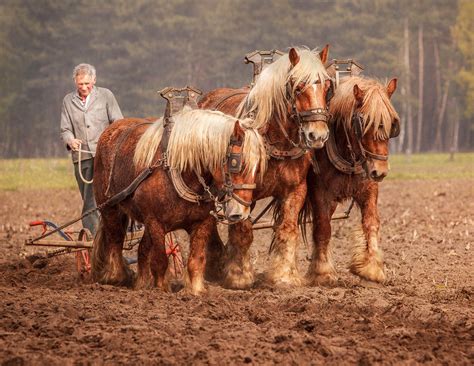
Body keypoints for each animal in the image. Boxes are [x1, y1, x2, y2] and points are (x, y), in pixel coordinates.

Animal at [90, 108, 266, 294]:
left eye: (258, 168)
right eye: (237, 163)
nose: (242, 212)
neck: (182, 174)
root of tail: (112, 128)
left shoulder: (202, 223)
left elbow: (196, 260)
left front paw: (195, 290)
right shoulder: (155, 223)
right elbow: (160, 260)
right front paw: (161, 289)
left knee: (142, 249)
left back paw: (141, 284)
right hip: (110, 209)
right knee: (115, 239)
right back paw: (115, 277)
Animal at [198, 46, 332, 288]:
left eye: (327, 87)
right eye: (298, 87)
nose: (317, 135)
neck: (275, 141)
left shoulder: (296, 189)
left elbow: (287, 229)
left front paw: (283, 276)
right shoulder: (243, 190)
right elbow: (243, 229)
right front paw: (239, 275)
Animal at [302, 76, 398, 284]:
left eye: (392, 122)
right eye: (363, 122)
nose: (380, 171)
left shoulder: (369, 189)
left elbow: (371, 223)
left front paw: (372, 268)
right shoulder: (320, 193)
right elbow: (323, 228)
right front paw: (323, 272)